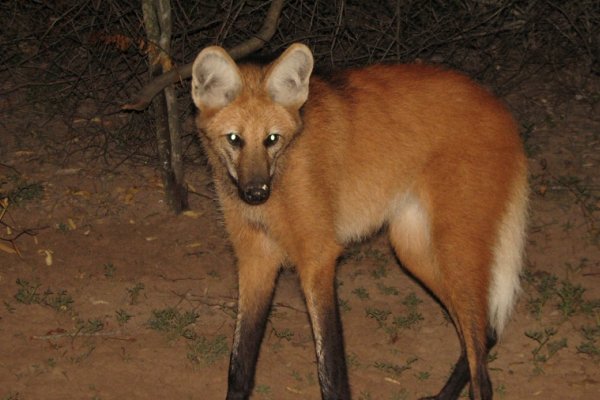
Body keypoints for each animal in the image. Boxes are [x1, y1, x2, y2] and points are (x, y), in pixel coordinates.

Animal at [190, 43, 528, 400]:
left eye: (271, 139)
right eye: (234, 139)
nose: (255, 193)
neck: (280, 174)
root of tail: (499, 107)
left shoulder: (318, 259)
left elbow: (330, 371)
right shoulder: (255, 259)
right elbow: (239, 367)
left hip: (454, 250)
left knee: (483, 369)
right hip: (412, 248)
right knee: (485, 332)